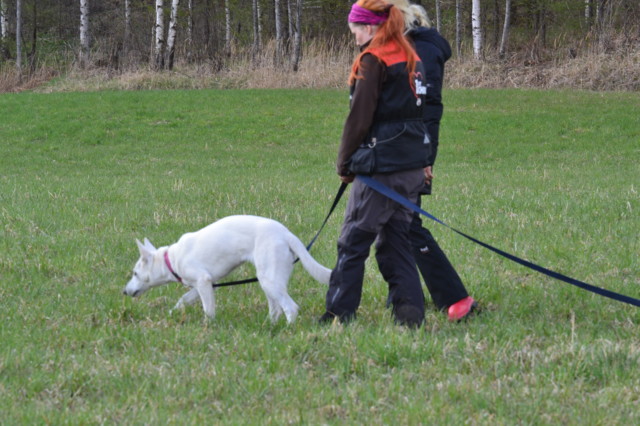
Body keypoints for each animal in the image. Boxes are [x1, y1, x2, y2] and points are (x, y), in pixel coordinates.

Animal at [123, 216, 332, 322]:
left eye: (135, 273)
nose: (124, 291)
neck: (171, 259)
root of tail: (286, 234)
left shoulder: (203, 281)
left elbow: (208, 310)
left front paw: (208, 326)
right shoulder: (205, 285)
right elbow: (183, 299)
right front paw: (172, 314)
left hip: (269, 280)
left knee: (290, 308)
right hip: (269, 281)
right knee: (275, 309)